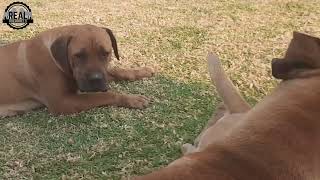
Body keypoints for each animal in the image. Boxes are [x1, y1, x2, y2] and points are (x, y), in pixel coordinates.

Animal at [0, 24, 155, 116]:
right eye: (79, 55)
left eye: (105, 53)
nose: (96, 79)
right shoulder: (62, 102)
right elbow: (103, 95)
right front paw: (131, 98)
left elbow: (117, 71)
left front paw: (141, 71)